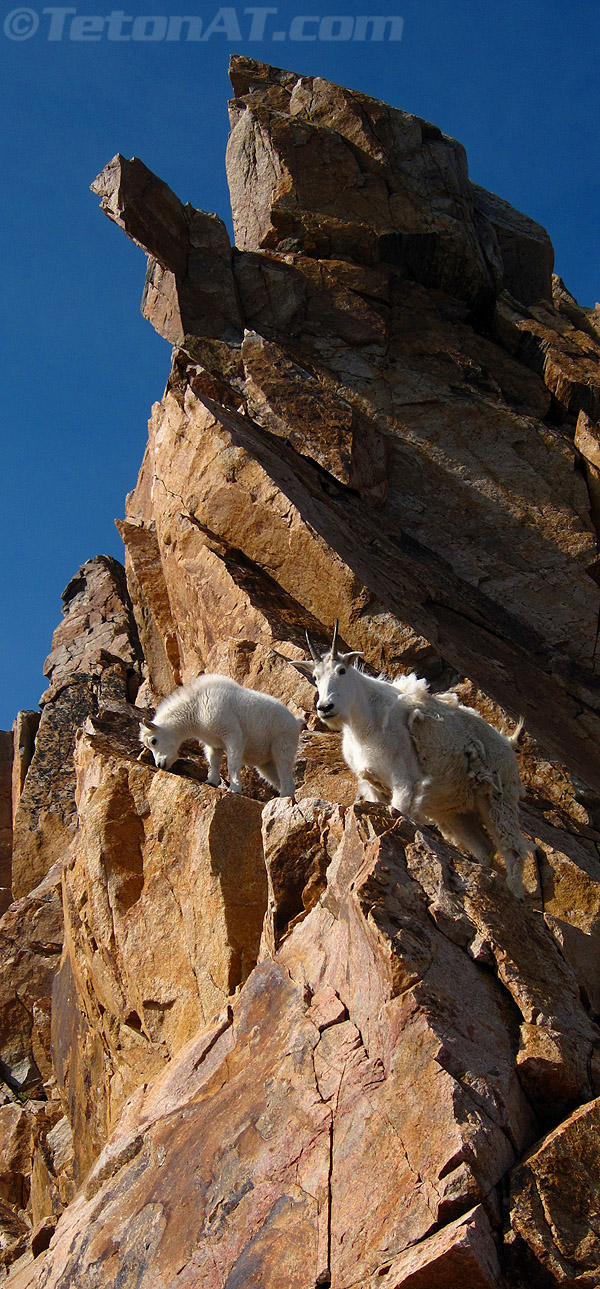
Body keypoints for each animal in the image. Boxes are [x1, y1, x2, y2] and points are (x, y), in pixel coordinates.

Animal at [139, 675, 299, 794]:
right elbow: (213, 762)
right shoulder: (213, 743)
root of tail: (296, 723)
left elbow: (232, 763)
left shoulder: (232, 734)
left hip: (283, 745)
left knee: (285, 775)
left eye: (153, 741)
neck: (195, 709)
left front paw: (235, 788)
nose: (160, 764)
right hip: (266, 763)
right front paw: (211, 781)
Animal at [290, 623, 529, 897]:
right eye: (315, 677)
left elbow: (400, 812)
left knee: (512, 851)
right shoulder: (373, 785)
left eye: (341, 670)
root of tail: (508, 745)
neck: (364, 723)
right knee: (485, 849)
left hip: (497, 798)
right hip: (456, 812)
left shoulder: (404, 781)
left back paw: (514, 893)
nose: (325, 707)